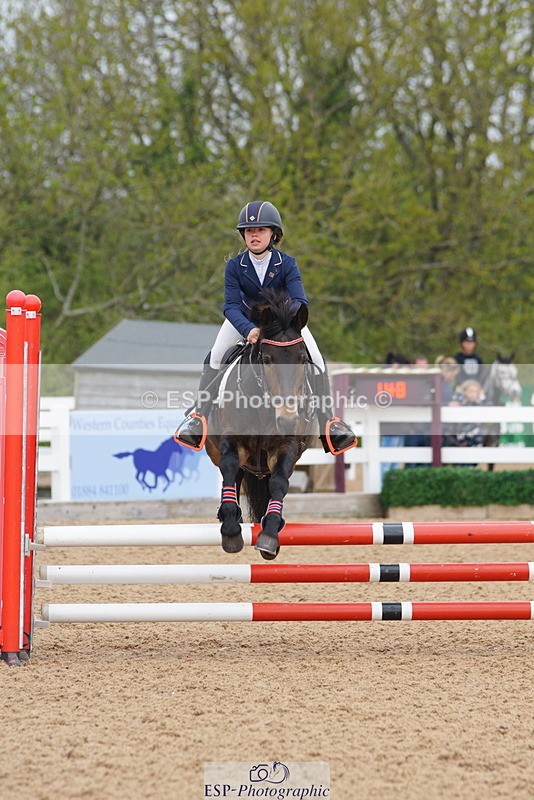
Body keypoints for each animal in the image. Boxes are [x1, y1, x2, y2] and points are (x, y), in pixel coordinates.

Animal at [205, 289, 317, 561]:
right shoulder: (232, 440)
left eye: (302, 359)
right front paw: (231, 531)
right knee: (233, 475)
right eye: (266, 359)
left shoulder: (287, 446)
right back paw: (229, 516)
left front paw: (269, 536)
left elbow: (279, 482)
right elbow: (230, 467)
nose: (287, 419)